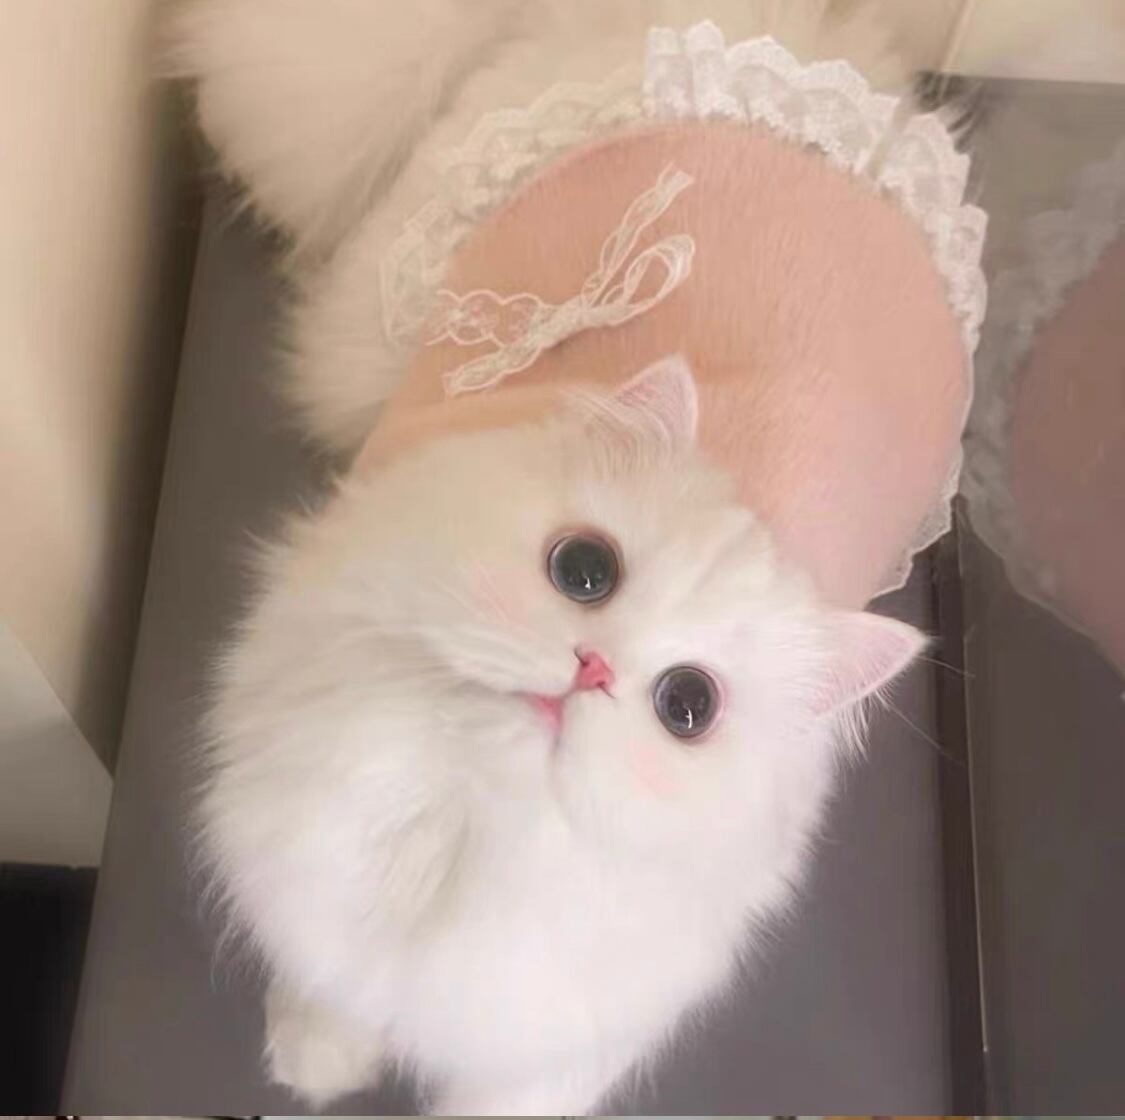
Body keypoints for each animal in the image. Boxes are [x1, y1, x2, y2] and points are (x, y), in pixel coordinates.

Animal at [168, 1, 934, 1111]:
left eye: (687, 706)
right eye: (583, 571)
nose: (591, 668)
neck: (458, 834)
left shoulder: (545, 1046)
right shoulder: (316, 879)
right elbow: (326, 991)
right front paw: (315, 1062)